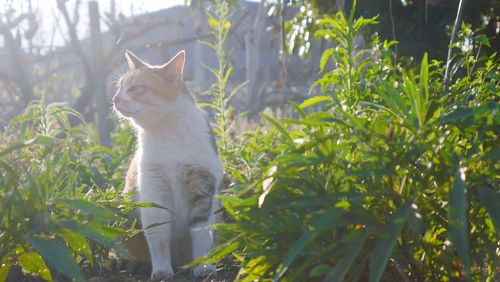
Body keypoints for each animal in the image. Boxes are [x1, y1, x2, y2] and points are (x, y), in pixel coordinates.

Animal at [114, 50, 224, 280]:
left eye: (135, 88)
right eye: (119, 87)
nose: (115, 98)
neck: (167, 131)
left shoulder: (203, 185)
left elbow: (201, 232)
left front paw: (203, 266)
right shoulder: (154, 190)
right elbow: (158, 236)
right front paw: (162, 270)